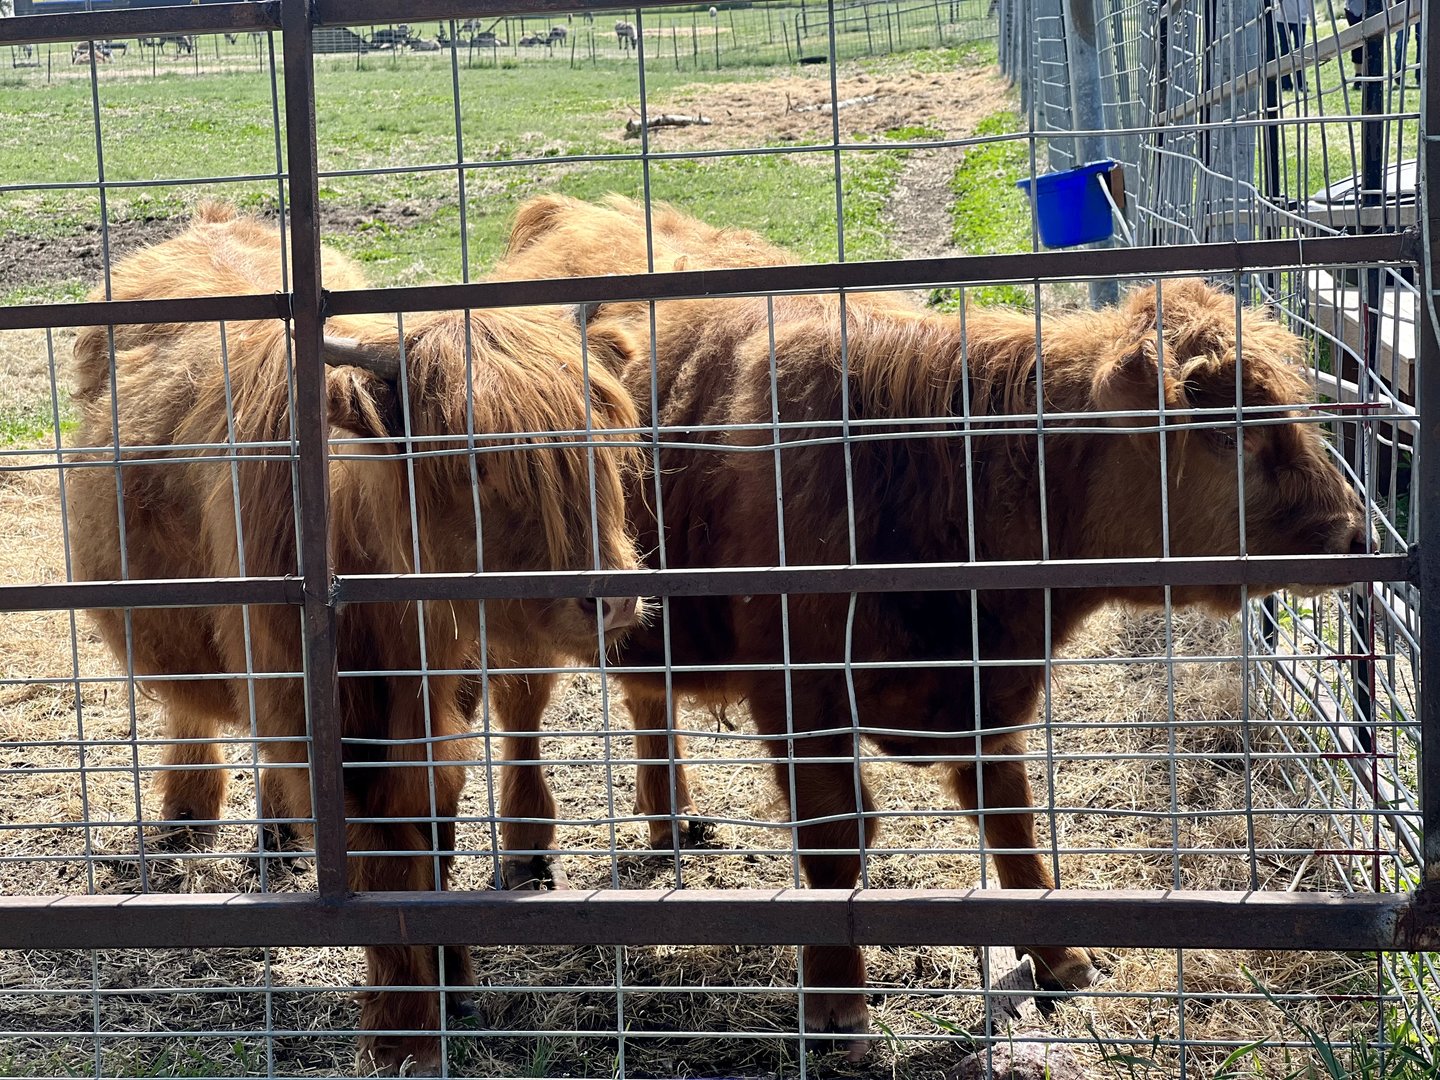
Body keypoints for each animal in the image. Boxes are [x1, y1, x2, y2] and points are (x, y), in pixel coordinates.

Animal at [65, 203, 647, 1075]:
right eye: (472, 466)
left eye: (604, 442)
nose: (608, 599)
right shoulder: (334, 720)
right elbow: (381, 861)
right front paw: (405, 1028)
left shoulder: (439, 707)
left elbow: (434, 832)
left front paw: (456, 979)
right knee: (197, 705)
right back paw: (192, 811)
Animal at [488, 194, 1375, 1053]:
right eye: (1228, 433)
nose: (1357, 534)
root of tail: (566, 209)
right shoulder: (803, 699)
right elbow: (836, 842)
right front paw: (838, 1003)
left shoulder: (984, 693)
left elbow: (1010, 819)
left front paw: (1062, 958)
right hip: (517, 612)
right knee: (521, 712)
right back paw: (528, 846)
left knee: (647, 693)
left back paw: (670, 813)